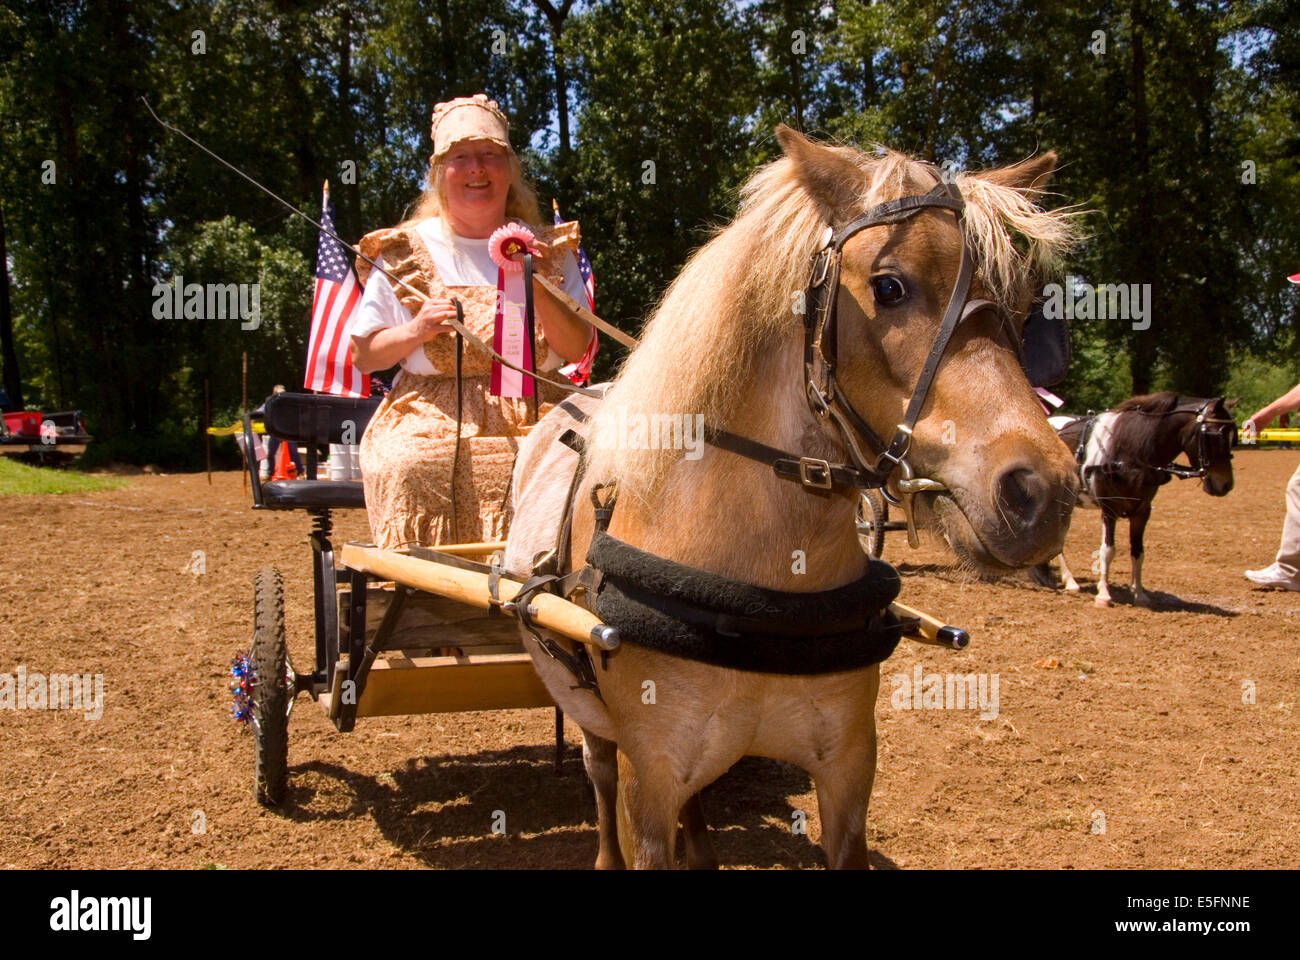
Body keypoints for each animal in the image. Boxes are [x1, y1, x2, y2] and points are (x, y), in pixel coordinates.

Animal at [504, 125, 1081, 869]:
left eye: (1020, 297)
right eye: (890, 286)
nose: (1044, 490)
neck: (757, 580)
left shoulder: (848, 769)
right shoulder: (648, 781)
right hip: (596, 726)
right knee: (598, 775)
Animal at [1034, 393, 1236, 607]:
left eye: (1233, 436)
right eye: (1214, 436)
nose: (1226, 484)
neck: (1130, 451)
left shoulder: (1143, 511)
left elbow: (1138, 551)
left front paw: (1139, 593)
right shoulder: (1109, 508)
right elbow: (1108, 550)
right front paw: (1103, 594)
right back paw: (1069, 581)